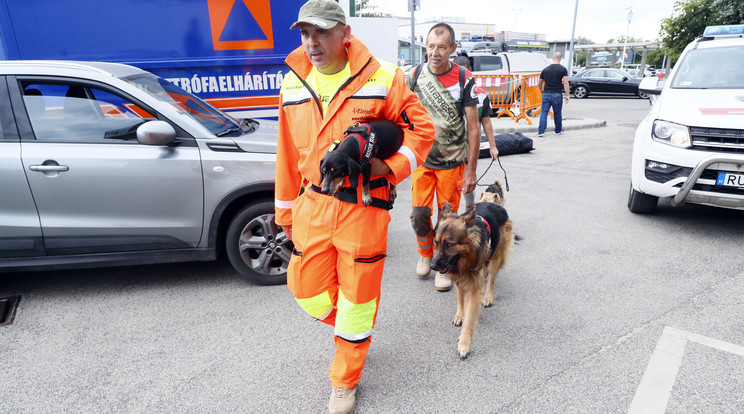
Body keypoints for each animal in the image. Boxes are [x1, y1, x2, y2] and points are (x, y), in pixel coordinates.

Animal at [430, 182, 516, 360]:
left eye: (449, 244)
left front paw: (464, 344)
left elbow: (470, 320)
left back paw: (488, 296)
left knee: (491, 279)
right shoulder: (459, 278)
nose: (432, 267)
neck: (467, 258)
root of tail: (493, 204)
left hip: (496, 257)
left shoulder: (474, 288)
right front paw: (460, 315)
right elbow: (461, 299)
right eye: (436, 243)